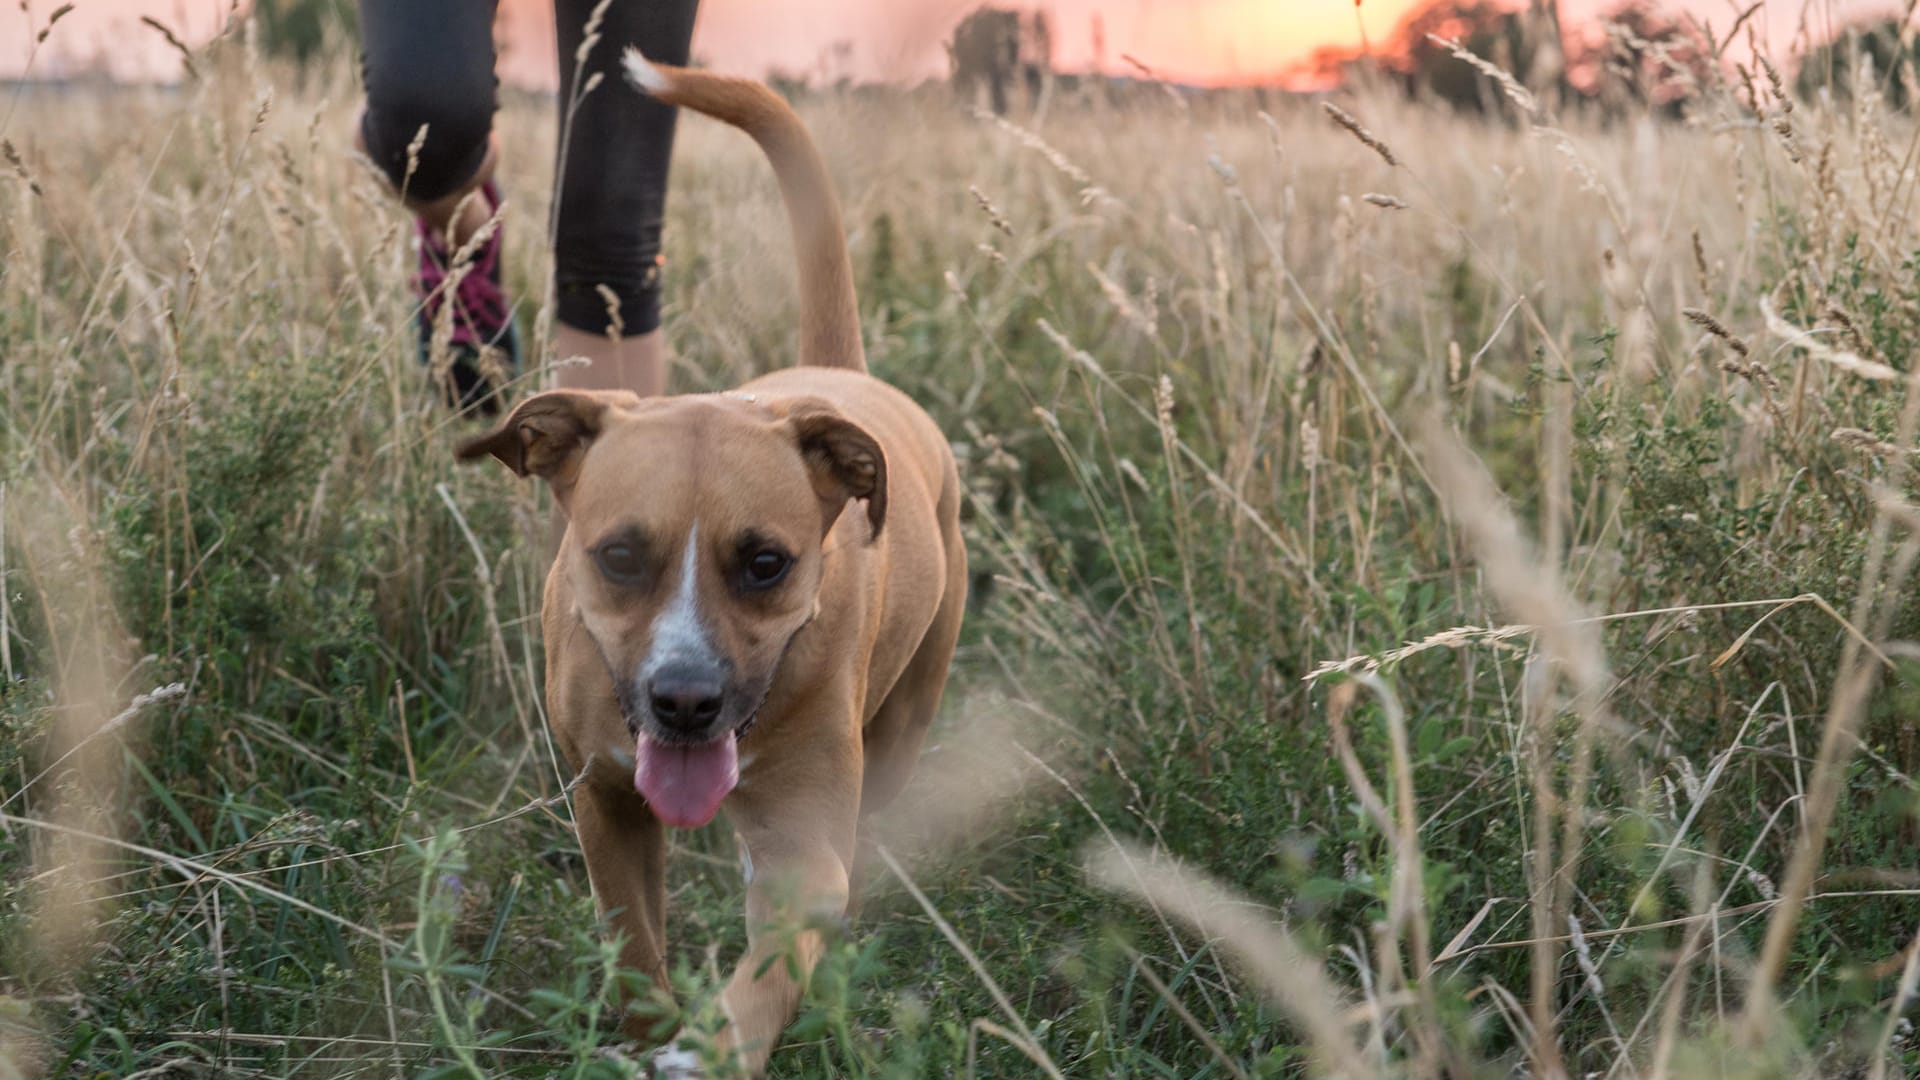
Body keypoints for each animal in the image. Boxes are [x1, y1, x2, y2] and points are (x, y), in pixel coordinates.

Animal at [456, 50, 967, 1068]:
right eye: (618, 554)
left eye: (766, 563)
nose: (685, 702)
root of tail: (840, 376)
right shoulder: (605, 801)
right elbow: (629, 938)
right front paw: (651, 1029)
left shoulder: (805, 850)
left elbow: (770, 968)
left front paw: (705, 1052)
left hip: (910, 709)